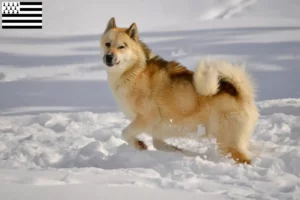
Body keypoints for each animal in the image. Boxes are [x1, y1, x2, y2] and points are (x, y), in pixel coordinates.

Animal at [99, 17, 258, 164]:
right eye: (108, 44)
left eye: (122, 46)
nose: (108, 57)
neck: (134, 71)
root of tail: (239, 93)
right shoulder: (157, 128)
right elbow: (159, 144)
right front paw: (177, 151)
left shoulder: (148, 117)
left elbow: (125, 132)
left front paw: (138, 144)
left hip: (227, 143)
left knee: (245, 159)